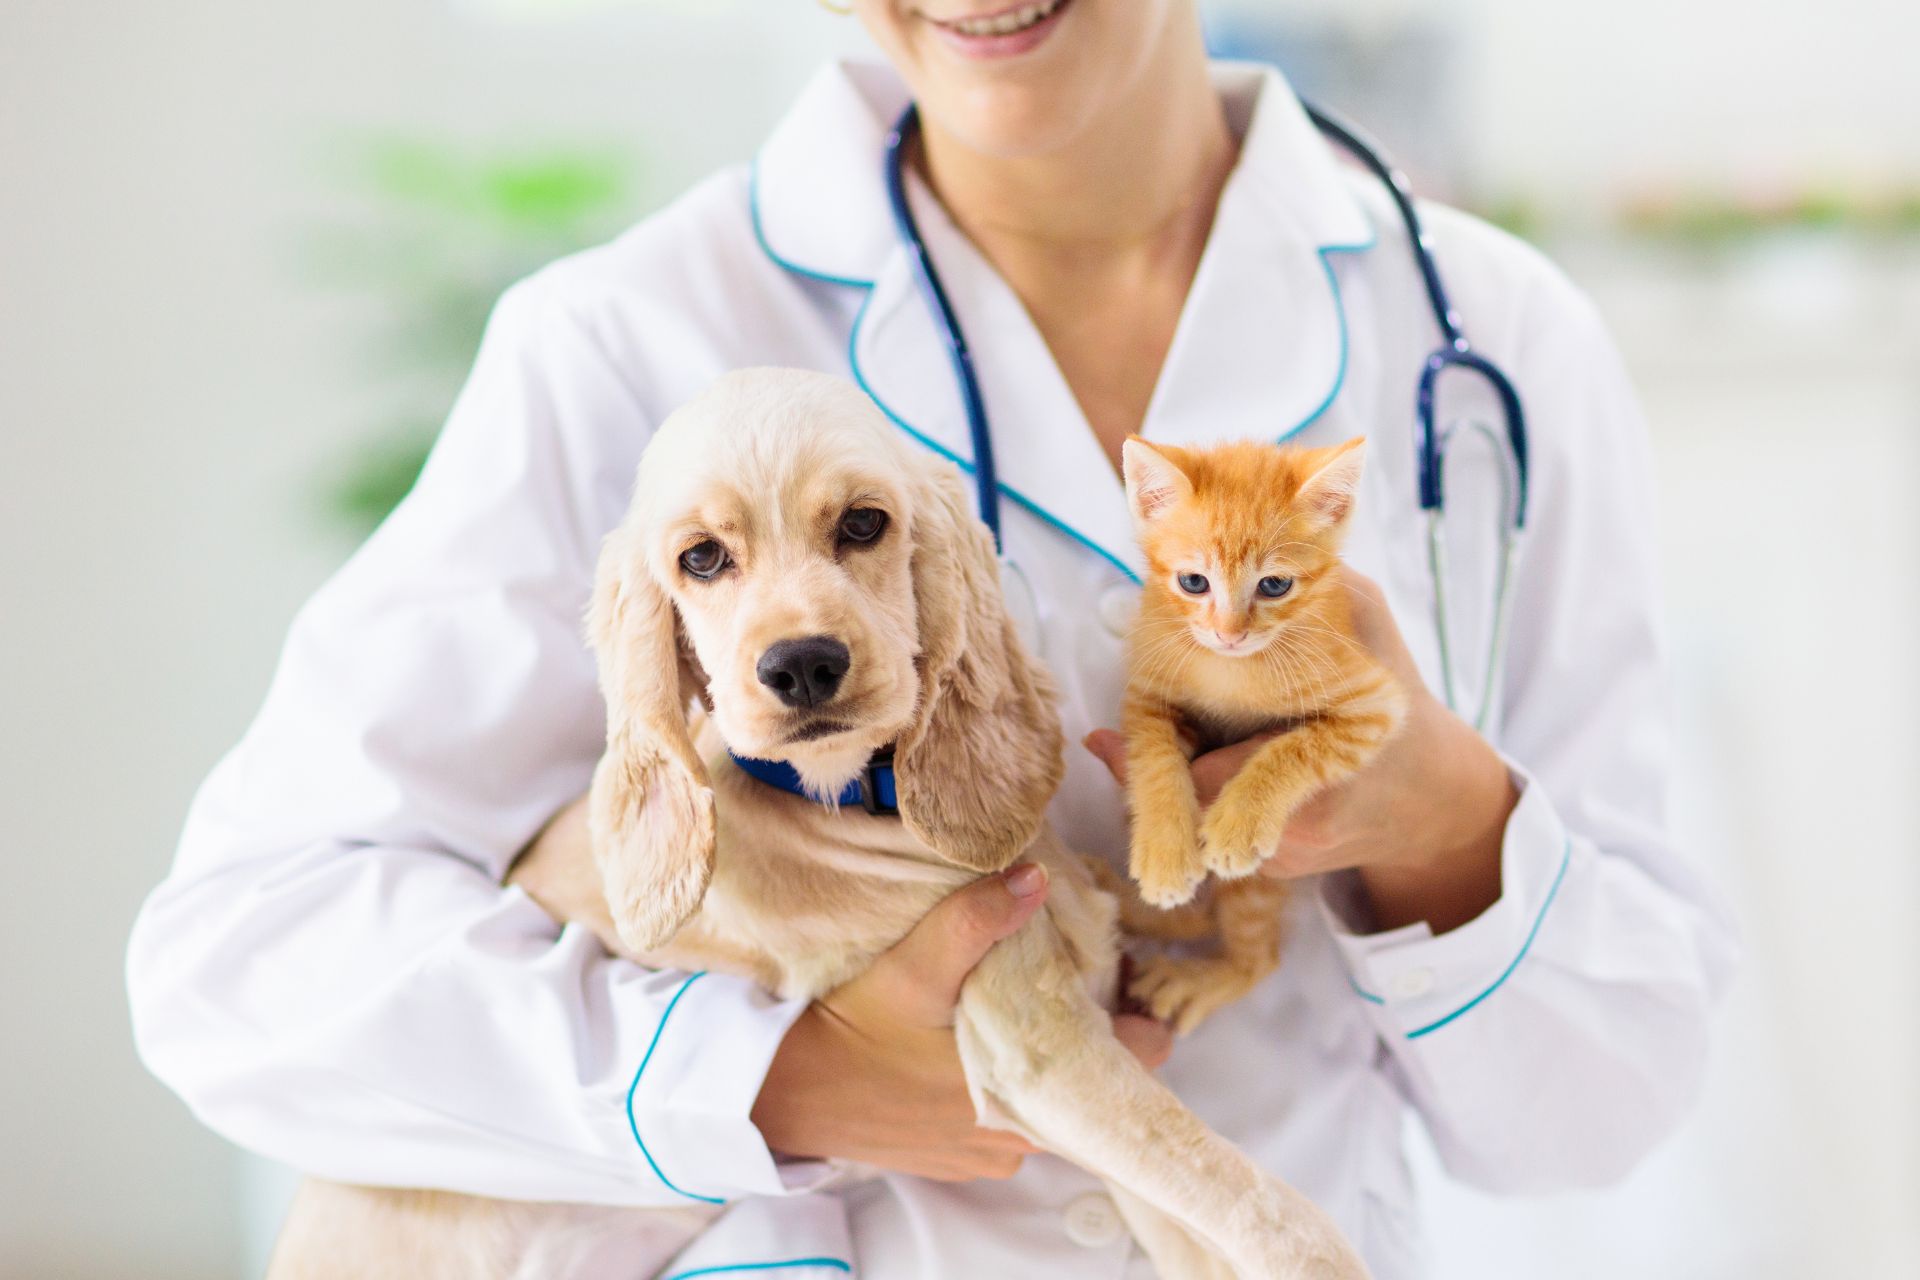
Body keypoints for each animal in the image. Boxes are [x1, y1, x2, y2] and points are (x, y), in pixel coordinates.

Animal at [270, 370, 1367, 1280]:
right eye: (701, 557)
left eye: (863, 523)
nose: (801, 665)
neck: (860, 803)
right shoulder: (1036, 1049)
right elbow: (1273, 1213)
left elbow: (1219, 1216)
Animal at [1113, 435, 1413, 1036]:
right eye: (1193, 581)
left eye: (1274, 585)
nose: (1230, 634)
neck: (1232, 671)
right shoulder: (1147, 692)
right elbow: (1153, 758)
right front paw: (1165, 851)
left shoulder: (1375, 703)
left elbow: (1298, 747)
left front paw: (1239, 822)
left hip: (1258, 887)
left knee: (1259, 955)